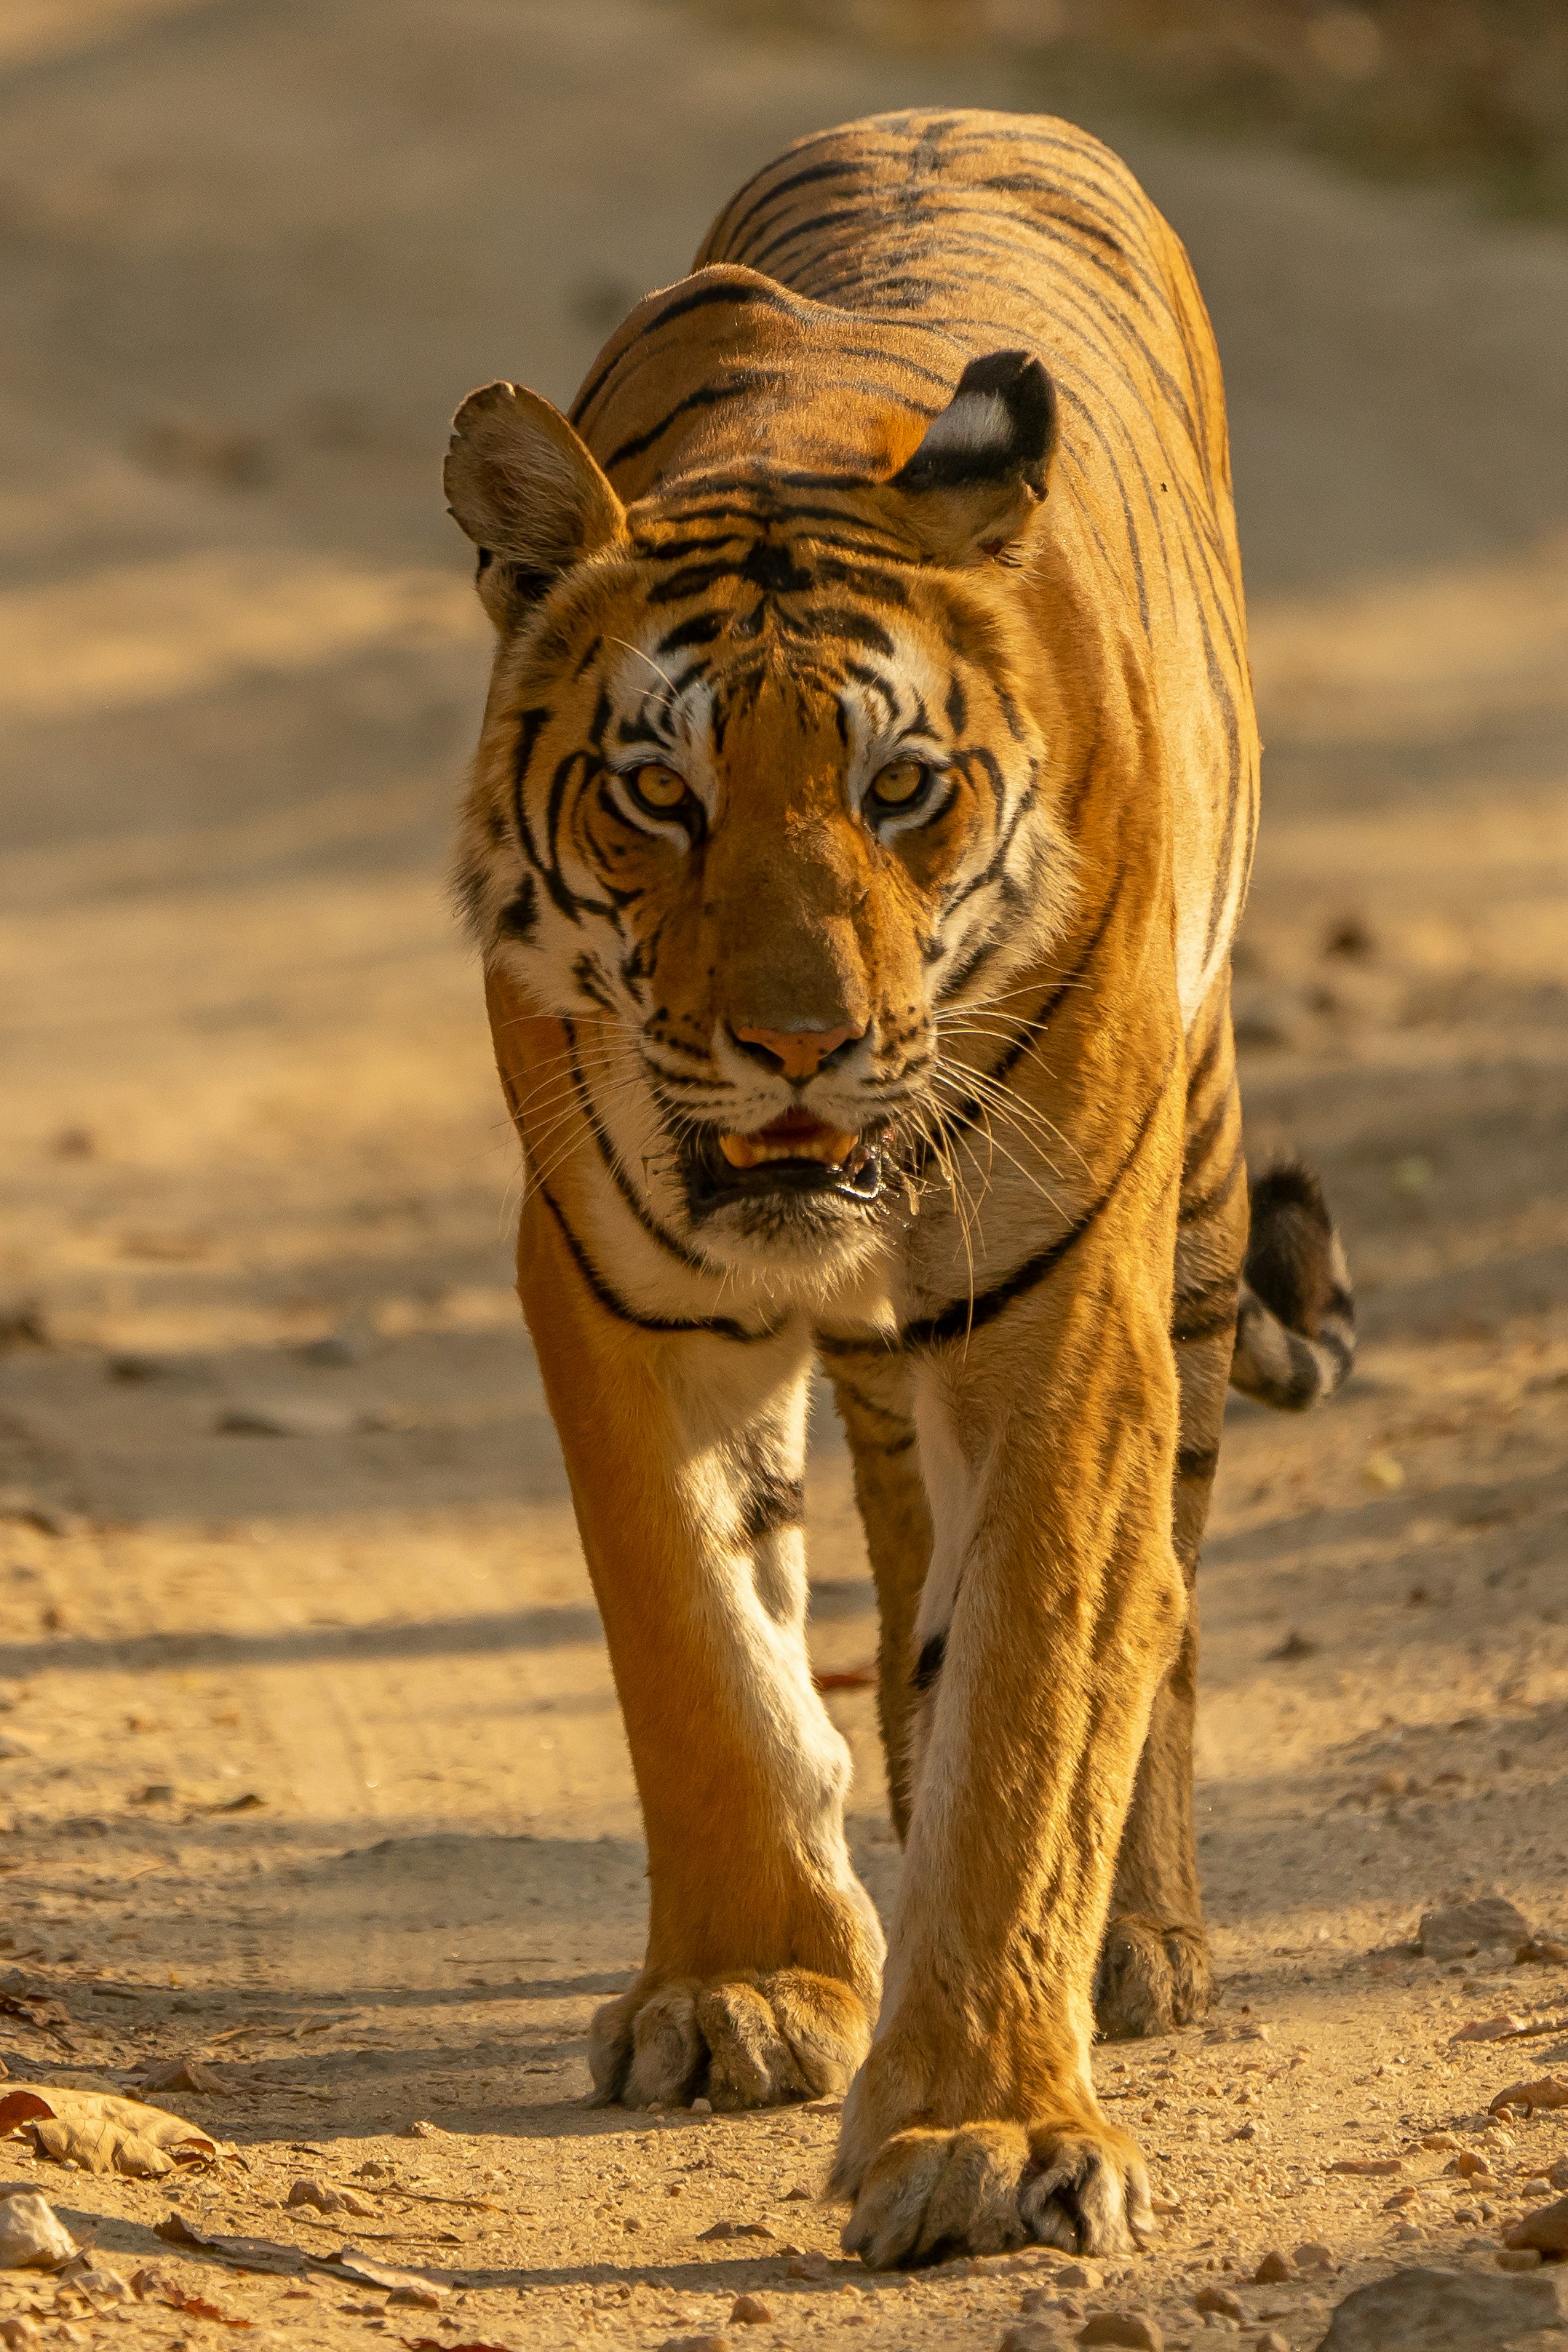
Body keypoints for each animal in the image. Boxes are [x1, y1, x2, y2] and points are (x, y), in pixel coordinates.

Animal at [443, 108, 1353, 2266]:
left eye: (897, 790)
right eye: (657, 791)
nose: (796, 1040)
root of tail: (967, 111)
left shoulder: (1068, 1315)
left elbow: (1041, 1683)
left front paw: (985, 2126)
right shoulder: (613, 1283)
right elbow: (693, 1636)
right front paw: (743, 1986)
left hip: (1194, 1210)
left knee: (1163, 1585)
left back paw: (1140, 1942)